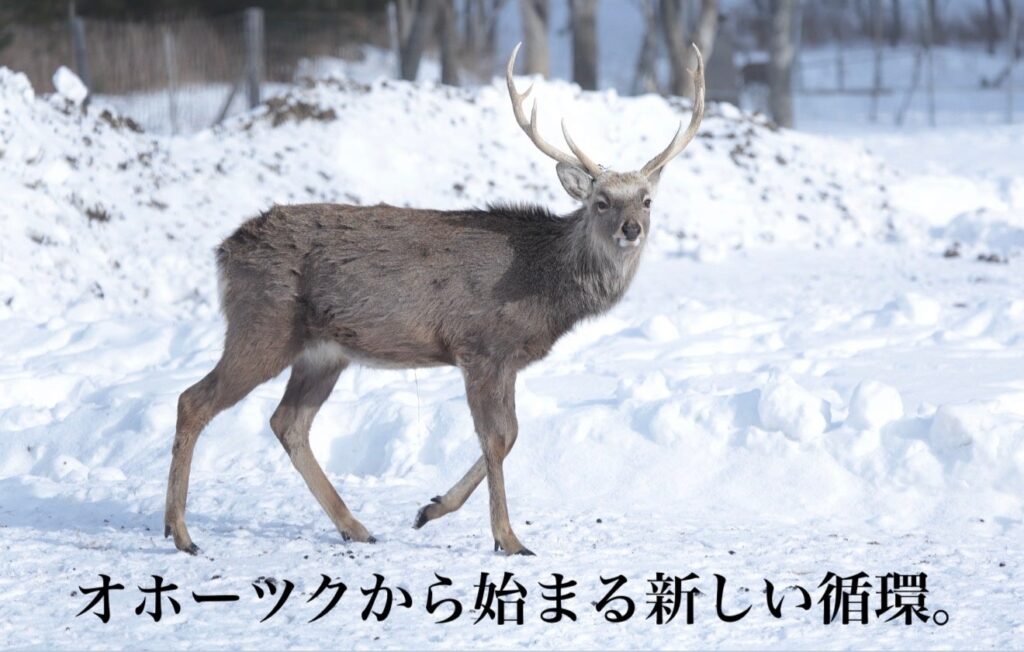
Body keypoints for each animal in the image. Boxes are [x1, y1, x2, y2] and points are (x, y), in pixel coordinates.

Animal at [164, 43, 705, 556]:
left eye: (647, 201)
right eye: (600, 202)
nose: (631, 229)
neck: (542, 282)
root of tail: (224, 250)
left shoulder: (506, 359)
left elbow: (510, 436)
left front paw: (430, 509)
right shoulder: (480, 346)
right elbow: (497, 438)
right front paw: (507, 537)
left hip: (323, 352)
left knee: (288, 422)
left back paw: (355, 528)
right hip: (263, 325)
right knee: (194, 400)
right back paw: (181, 532)